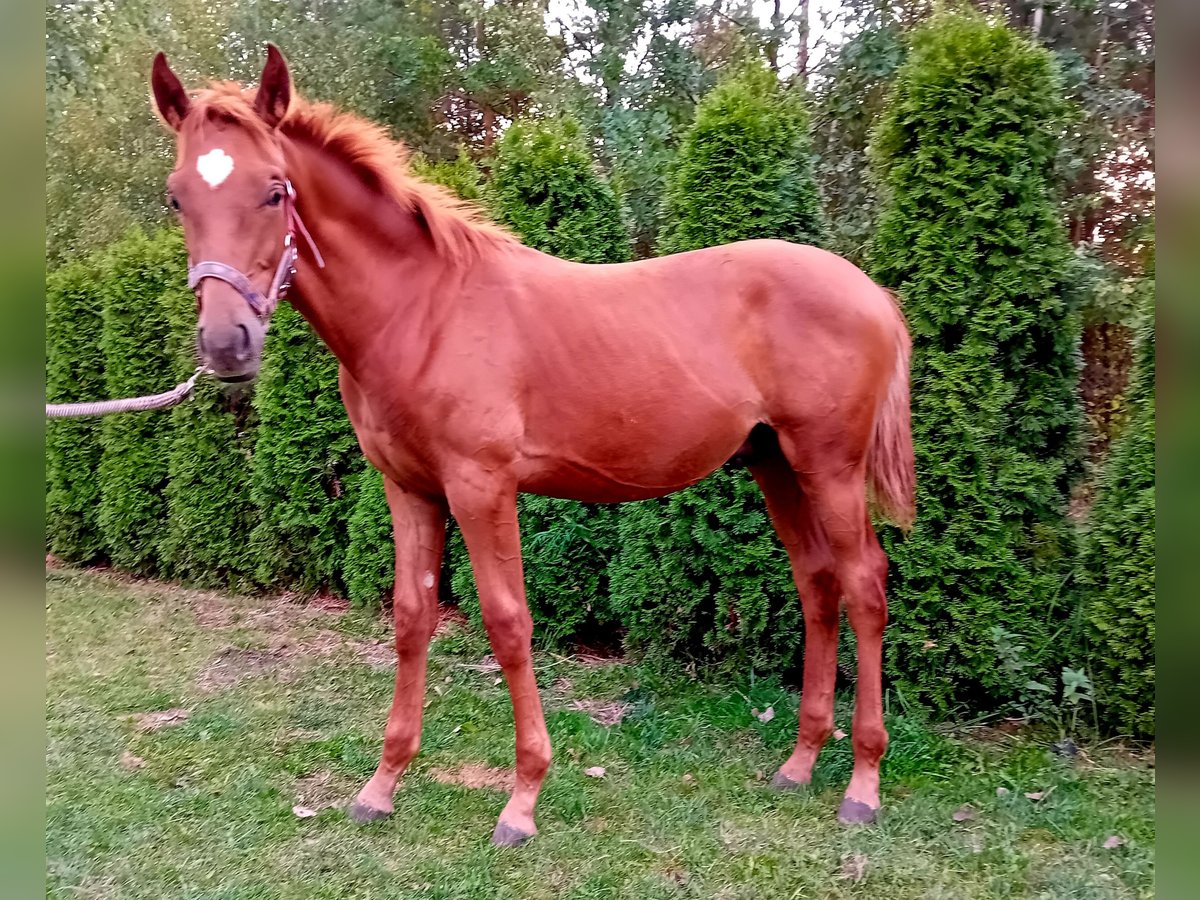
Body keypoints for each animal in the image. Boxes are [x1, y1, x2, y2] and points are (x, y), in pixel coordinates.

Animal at [150, 45, 916, 849]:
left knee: (865, 586)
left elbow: (508, 622)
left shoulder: (481, 486)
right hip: (777, 465)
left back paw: (862, 785)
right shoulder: (410, 489)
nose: (226, 343)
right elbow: (411, 617)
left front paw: (521, 800)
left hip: (830, 466)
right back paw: (799, 763)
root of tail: (872, 293)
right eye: (177, 199)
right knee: (818, 585)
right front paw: (382, 785)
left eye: (274, 192)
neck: (423, 311)